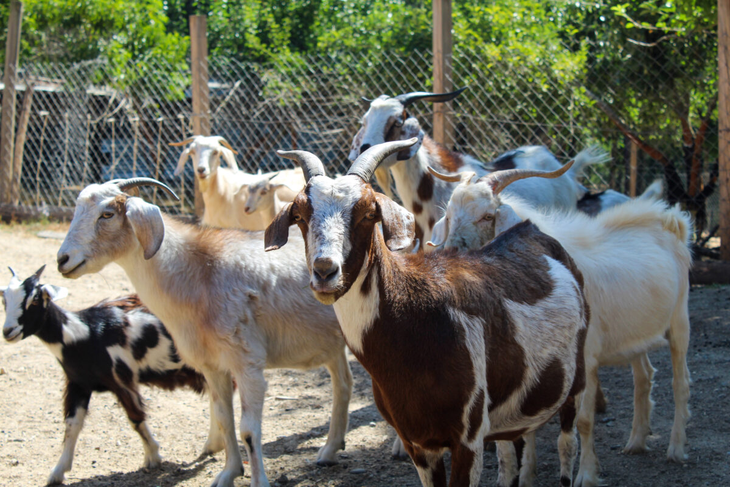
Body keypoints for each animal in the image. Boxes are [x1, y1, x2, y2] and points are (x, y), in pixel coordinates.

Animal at [0, 266, 212, 485]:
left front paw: (153, 456)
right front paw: (57, 472)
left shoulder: (122, 380)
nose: (8, 331)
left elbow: (136, 418)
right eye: (4, 299)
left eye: (34, 299)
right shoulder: (78, 384)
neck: (86, 333)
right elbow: (72, 425)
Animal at [56, 177, 353, 487]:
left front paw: (258, 480)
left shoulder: (248, 364)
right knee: (343, 384)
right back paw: (329, 451)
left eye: (107, 214)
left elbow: (248, 429)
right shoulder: (212, 366)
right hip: (333, 343)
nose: (62, 259)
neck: (200, 272)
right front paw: (229, 472)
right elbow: (223, 419)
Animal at [265, 139, 589, 487]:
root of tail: (531, 229)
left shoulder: (468, 438)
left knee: (567, 443)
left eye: (369, 213)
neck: (413, 316)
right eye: (299, 214)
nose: (325, 271)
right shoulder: (417, 443)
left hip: (575, 383)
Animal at [428, 166, 692, 487]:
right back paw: (636, 442)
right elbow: (526, 424)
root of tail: (671, 220)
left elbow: (585, 421)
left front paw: (586, 475)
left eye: (488, 215)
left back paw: (676, 448)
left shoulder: (585, 360)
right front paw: (526, 475)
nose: (452, 250)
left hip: (680, 322)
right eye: (449, 215)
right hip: (635, 337)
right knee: (644, 377)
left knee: (680, 383)